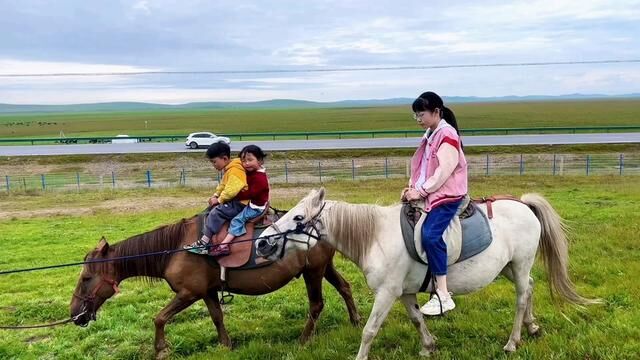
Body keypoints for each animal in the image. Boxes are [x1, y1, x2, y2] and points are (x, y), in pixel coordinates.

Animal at [70, 215, 362, 358]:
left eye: (86, 279)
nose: (74, 314)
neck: (174, 249)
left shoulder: (188, 293)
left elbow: (159, 318)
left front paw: (161, 350)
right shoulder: (207, 291)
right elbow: (217, 316)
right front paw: (225, 344)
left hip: (313, 273)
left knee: (316, 305)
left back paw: (303, 340)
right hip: (324, 268)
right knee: (345, 287)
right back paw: (356, 321)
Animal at [256, 190, 600, 358]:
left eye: (298, 217)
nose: (261, 243)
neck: (376, 236)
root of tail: (524, 205)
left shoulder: (387, 293)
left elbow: (369, 330)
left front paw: (360, 357)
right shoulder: (405, 291)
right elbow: (416, 318)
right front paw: (428, 346)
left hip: (521, 262)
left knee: (520, 297)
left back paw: (513, 341)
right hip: (510, 267)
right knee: (528, 287)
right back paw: (532, 327)